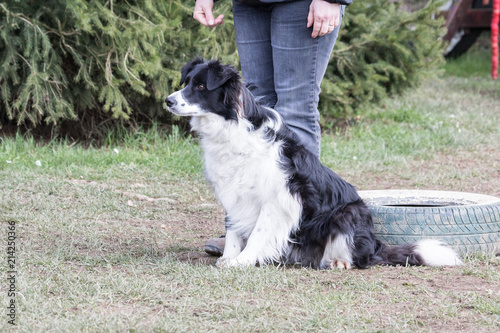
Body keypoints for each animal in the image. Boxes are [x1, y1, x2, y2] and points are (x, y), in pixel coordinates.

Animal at [166, 58, 462, 268]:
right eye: (187, 82)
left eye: (201, 87)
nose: (168, 100)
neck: (232, 127)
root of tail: (377, 245)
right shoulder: (233, 191)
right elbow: (234, 231)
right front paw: (229, 257)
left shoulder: (280, 197)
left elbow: (259, 232)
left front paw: (243, 261)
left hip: (348, 213)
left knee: (361, 258)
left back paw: (339, 261)